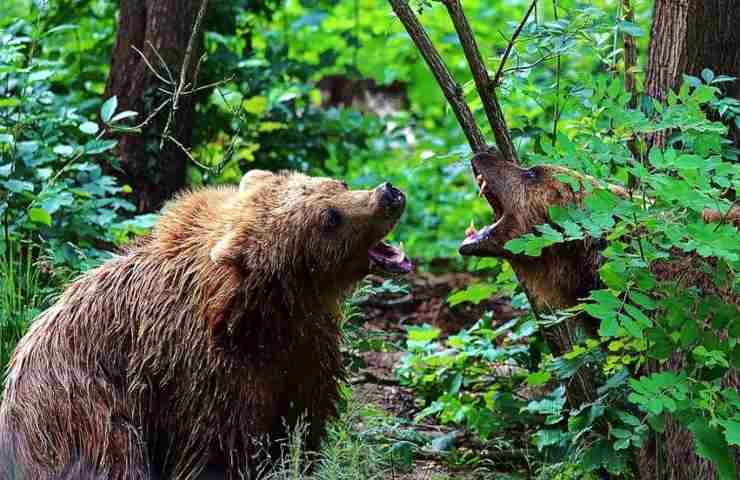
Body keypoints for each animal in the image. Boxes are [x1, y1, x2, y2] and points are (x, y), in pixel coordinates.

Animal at [0, 171, 410, 478]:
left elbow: (302, 422)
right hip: (77, 412)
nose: (389, 194)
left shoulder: (303, 350)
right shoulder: (203, 371)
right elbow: (219, 445)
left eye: (338, 183)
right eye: (329, 217)